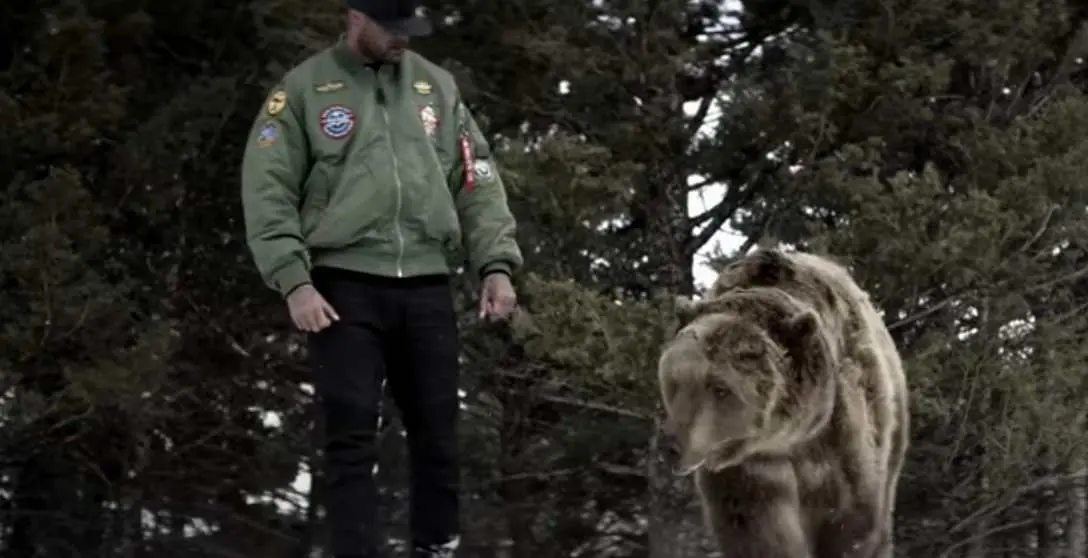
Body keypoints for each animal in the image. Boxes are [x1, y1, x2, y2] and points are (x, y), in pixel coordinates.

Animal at [652, 249, 909, 556]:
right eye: (674, 380)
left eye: (721, 389)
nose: (672, 445)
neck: (785, 438)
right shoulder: (752, 474)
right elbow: (761, 532)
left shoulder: (843, 444)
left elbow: (852, 525)